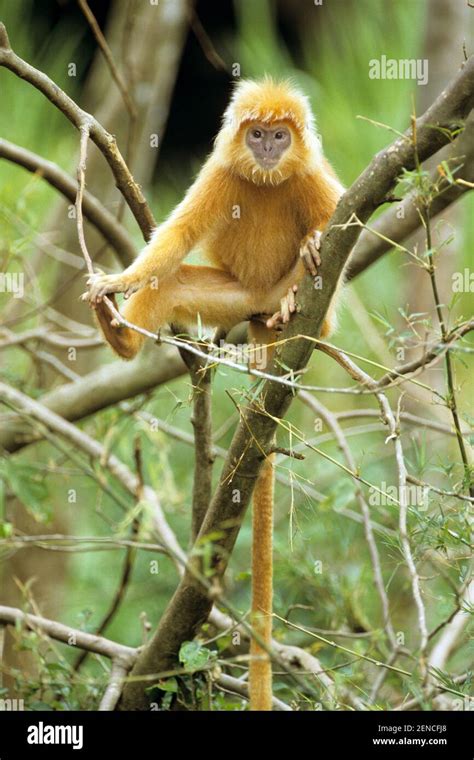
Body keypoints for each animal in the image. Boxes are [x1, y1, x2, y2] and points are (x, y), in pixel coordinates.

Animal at [83, 75, 342, 708]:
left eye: (280, 135)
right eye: (258, 135)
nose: (269, 148)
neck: (268, 179)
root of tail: (262, 313)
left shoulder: (314, 175)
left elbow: (348, 226)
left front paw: (317, 245)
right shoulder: (221, 173)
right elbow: (173, 241)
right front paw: (120, 280)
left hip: (286, 301)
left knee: (318, 288)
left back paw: (299, 298)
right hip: (235, 298)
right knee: (171, 282)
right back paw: (122, 336)